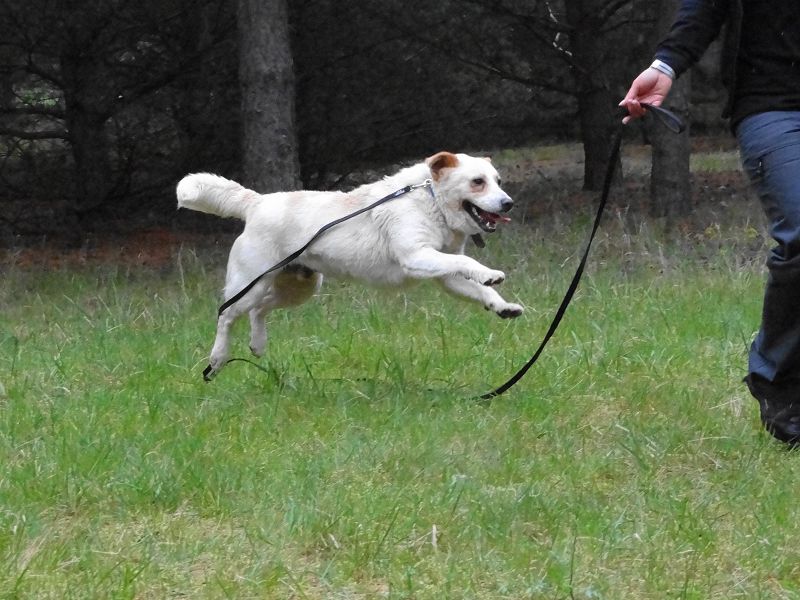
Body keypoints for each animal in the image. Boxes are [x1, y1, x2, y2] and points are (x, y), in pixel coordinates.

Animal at [177, 151, 523, 377]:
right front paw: (491, 273)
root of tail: (257, 203)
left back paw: (258, 346)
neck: (431, 199)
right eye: (477, 182)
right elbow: (466, 260)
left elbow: (477, 285)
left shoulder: (446, 275)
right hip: (250, 284)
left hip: (299, 286)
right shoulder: (417, 257)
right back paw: (217, 360)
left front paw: (502, 306)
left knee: (259, 311)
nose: (508, 203)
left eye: (498, 180)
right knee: (226, 316)